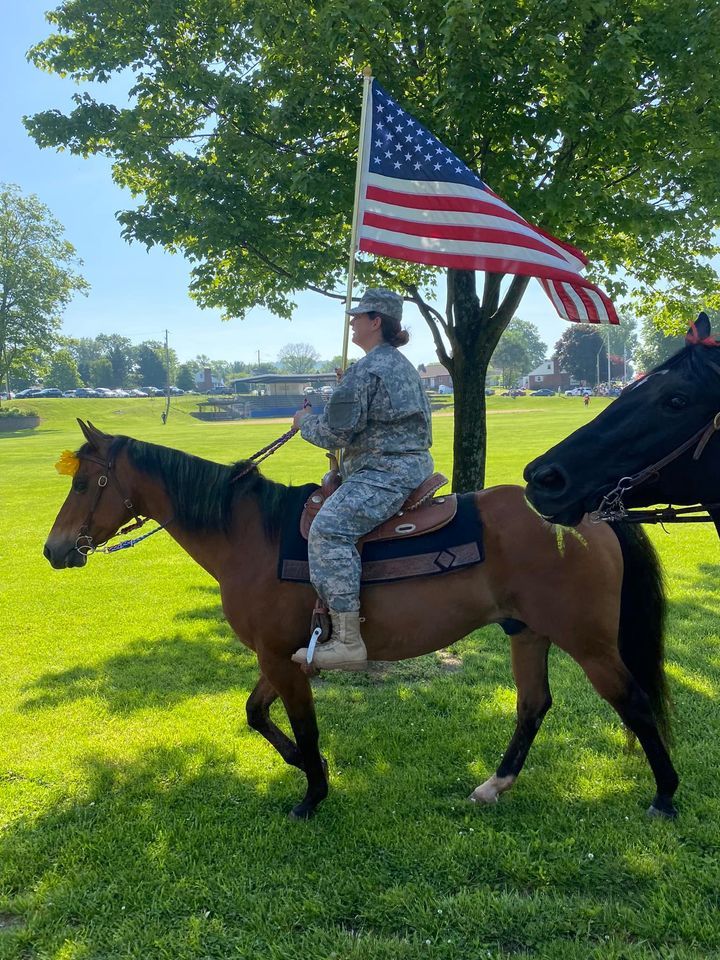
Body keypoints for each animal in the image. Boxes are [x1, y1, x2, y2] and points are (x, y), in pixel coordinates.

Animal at [45, 424, 680, 820]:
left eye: (82, 482)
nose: (54, 550)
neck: (249, 535)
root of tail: (588, 514)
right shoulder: (283, 655)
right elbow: (256, 714)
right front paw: (310, 768)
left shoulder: (281, 658)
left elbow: (302, 725)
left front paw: (312, 794)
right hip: (528, 632)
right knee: (533, 706)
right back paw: (494, 785)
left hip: (588, 642)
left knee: (633, 701)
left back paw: (666, 797)